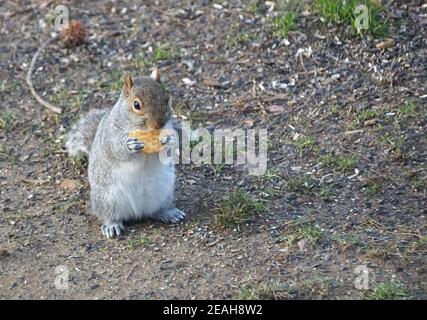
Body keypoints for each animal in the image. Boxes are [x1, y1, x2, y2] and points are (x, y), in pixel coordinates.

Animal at [65, 69, 186, 239]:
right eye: (136, 105)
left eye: (166, 99)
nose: (159, 124)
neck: (141, 129)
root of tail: (138, 213)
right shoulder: (110, 134)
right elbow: (116, 149)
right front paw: (131, 145)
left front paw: (169, 139)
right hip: (107, 199)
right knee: (109, 215)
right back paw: (112, 225)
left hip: (165, 193)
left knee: (155, 211)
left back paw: (167, 213)